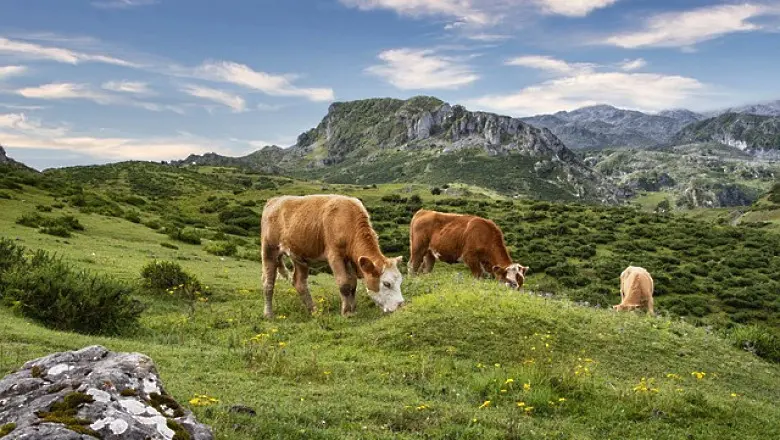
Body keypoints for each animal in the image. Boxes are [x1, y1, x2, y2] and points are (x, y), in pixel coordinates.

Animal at [264, 194, 408, 318]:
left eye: (400, 281)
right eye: (387, 283)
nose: (401, 305)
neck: (348, 219)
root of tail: (275, 200)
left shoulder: (350, 258)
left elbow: (353, 283)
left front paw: (353, 309)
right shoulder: (334, 254)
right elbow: (344, 283)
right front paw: (346, 312)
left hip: (299, 256)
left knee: (300, 282)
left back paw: (314, 311)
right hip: (269, 249)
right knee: (268, 282)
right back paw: (269, 314)